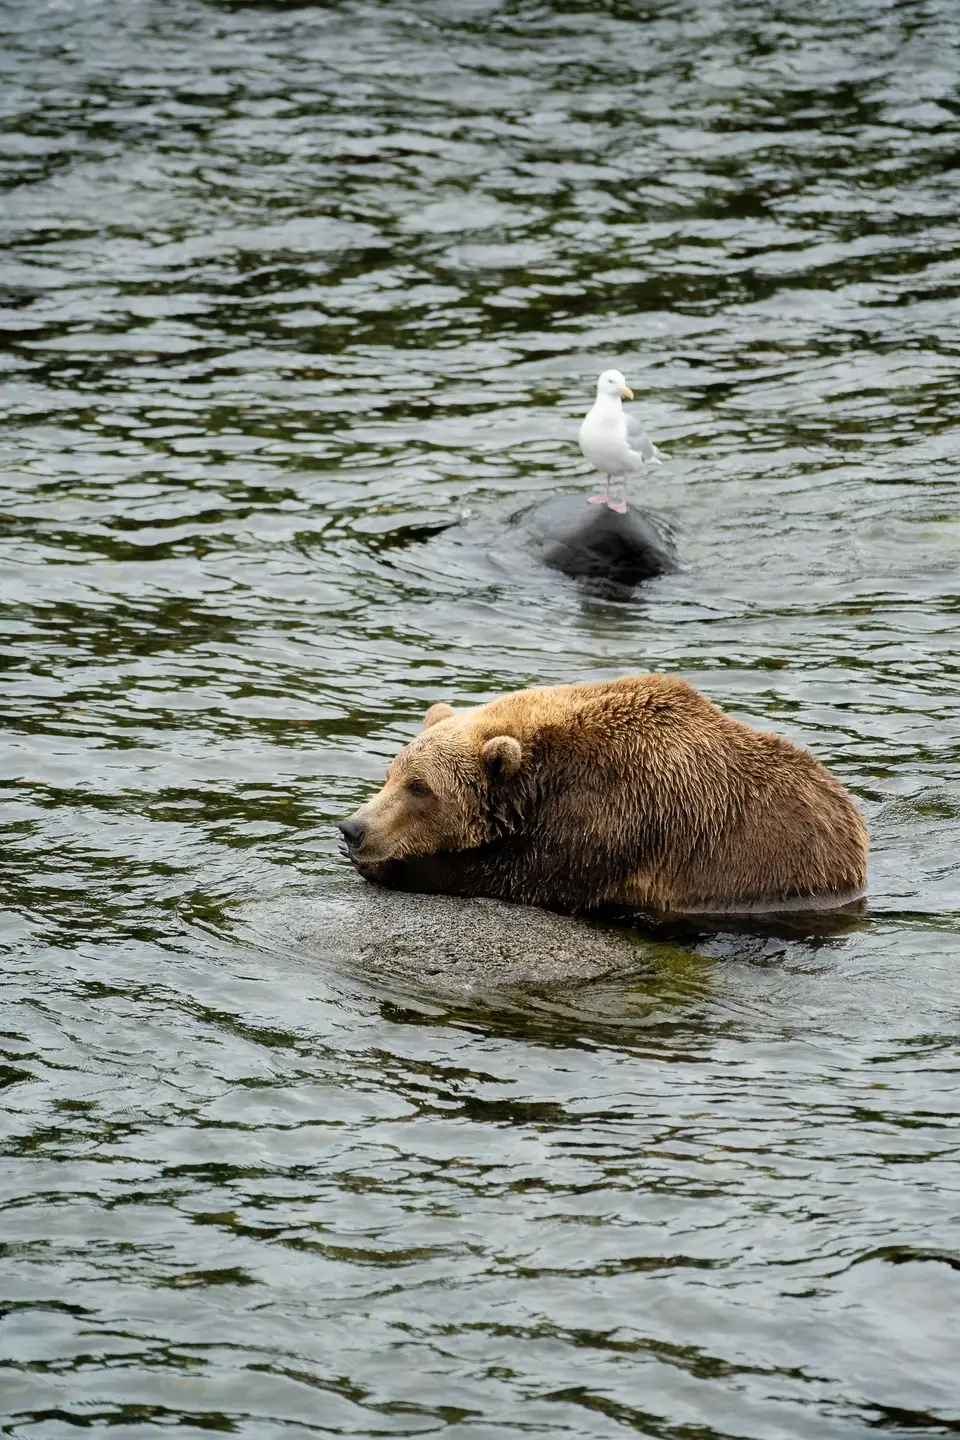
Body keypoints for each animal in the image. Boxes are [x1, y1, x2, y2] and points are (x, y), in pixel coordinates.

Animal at [337, 674, 868, 919]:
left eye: (420, 787)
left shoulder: (615, 810)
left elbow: (524, 874)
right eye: (391, 773)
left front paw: (397, 867)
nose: (353, 828)